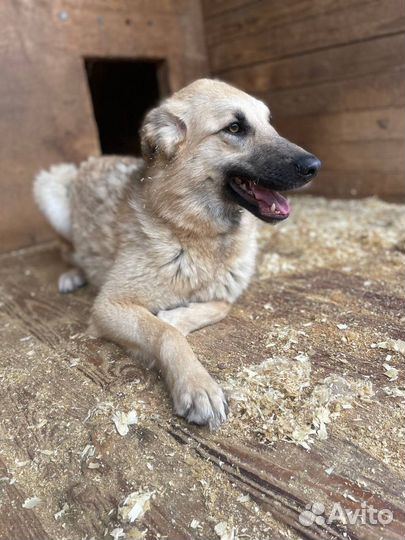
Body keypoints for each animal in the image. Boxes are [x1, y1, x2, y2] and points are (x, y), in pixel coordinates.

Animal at [33, 78, 320, 428]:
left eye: (269, 123)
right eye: (235, 128)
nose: (315, 166)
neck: (195, 232)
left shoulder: (222, 293)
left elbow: (218, 306)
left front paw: (176, 316)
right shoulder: (109, 305)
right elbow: (166, 334)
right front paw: (196, 383)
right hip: (51, 187)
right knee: (68, 250)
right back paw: (73, 275)